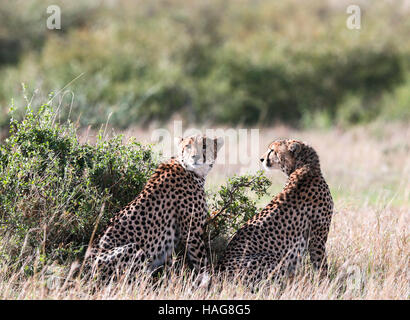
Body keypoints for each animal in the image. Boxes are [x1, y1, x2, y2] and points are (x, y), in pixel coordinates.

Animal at [84, 134, 223, 284]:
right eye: (188, 146)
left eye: (204, 145)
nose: (195, 157)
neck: (191, 171)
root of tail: (84, 269)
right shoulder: (192, 232)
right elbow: (202, 263)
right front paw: (209, 283)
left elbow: (170, 267)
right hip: (133, 250)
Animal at [218, 139, 334, 284]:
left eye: (272, 150)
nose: (261, 159)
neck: (304, 166)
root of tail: (219, 270)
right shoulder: (317, 238)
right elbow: (321, 264)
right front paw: (326, 282)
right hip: (274, 259)